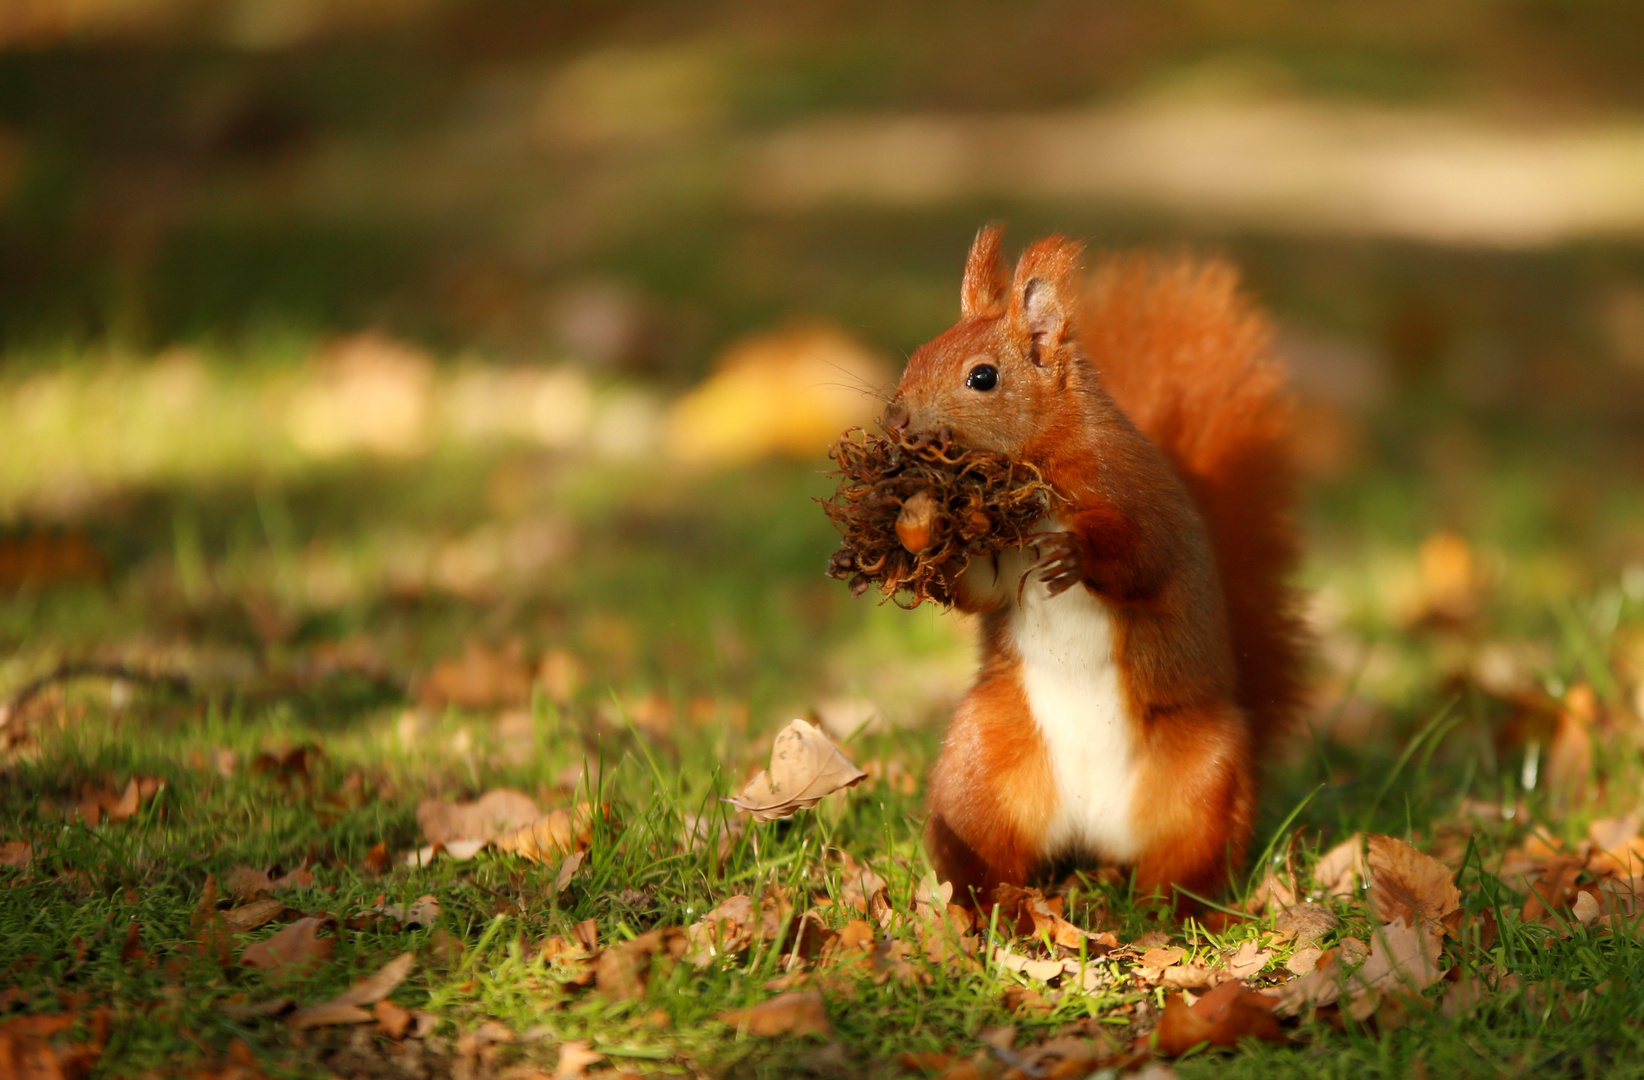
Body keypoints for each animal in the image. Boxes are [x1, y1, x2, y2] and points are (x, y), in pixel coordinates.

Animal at [894, 230, 1302, 907]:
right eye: (918, 350)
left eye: (982, 377)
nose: (896, 420)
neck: (1034, 469)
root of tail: (1093, 828)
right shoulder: (1001, 556)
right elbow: (982, 589)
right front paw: (920, 526)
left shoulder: (1130, 492)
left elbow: (1144, 560)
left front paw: (1077, 555)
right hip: (977, 764)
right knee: (984, 850)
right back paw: (989, 908)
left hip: (1204, 776)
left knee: (1190, 864)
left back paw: (1180, 912)